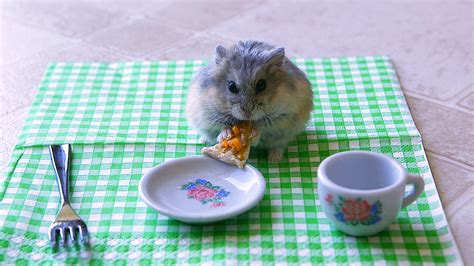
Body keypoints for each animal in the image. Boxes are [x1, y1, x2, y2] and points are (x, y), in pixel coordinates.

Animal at [186, 40, 314, 162]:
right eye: (232, 86)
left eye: (261, 85)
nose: (247, 113)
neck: (247, 122)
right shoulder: (208, 113)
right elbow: (222, 125)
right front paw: (225, 135)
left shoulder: (284, 116)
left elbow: (262, 127)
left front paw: (253, 134)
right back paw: (202, 140)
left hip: (285, 134)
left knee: (278, 146)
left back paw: (274, 159)